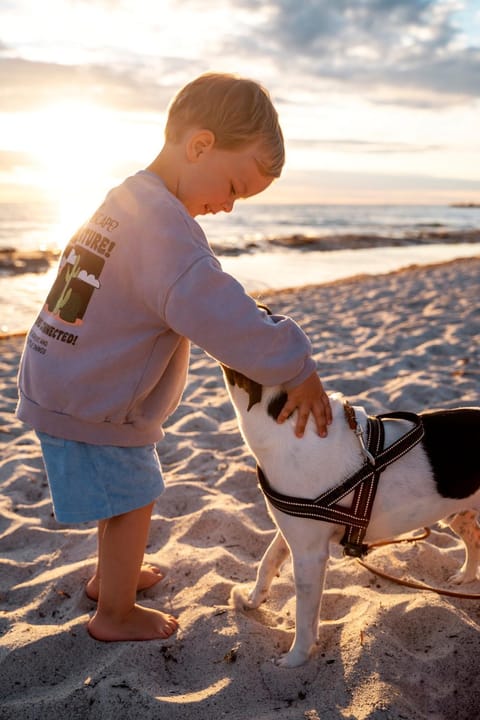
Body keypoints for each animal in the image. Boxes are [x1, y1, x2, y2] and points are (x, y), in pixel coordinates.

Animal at [223, 362, 480, 668]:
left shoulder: (310, 555)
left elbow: (303, 617)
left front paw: (295, 659)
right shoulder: (292, 532)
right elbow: (267, 562)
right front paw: (251, 601)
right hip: (458, 513)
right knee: (474, 540)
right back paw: (465, 577)